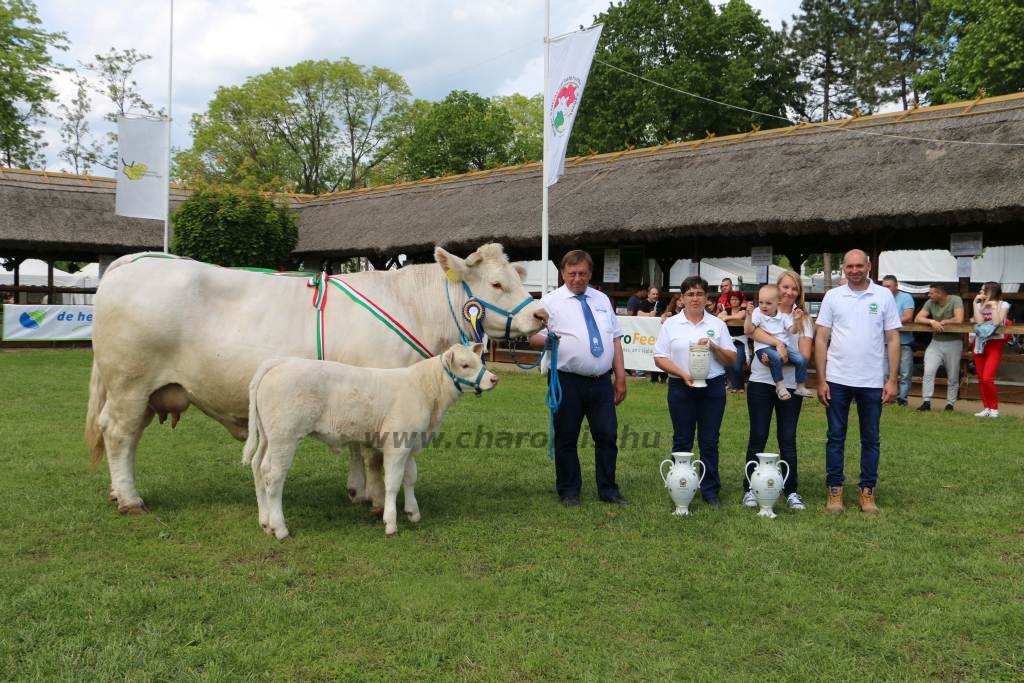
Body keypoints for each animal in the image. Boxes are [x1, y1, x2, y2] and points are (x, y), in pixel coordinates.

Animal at [87, 242, 548, 516]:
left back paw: (116, 492)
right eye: (496, 283)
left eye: (517, 279)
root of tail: (134, 261)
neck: (411, 306)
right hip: (130, 383)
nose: (541, 314)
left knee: (127, 438)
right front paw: (377, 498)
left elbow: (358, 448)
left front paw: (357, 491)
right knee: (119, 434)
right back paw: (129, 499)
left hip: (147, 390)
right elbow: (375, 456)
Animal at [240, 344, 495, 536]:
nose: (494, 379)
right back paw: (280, 528)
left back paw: (265, 522)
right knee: (274, 477)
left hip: (267, 437)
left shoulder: (412, 443)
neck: (425, 390)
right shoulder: (397, 444)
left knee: (258, 468)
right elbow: (393, 481)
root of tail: (280, 362)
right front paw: (391, 522)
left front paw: (413, 512)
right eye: (465, 365)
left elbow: (410, 477)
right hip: (284, 437)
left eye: (480, 359)